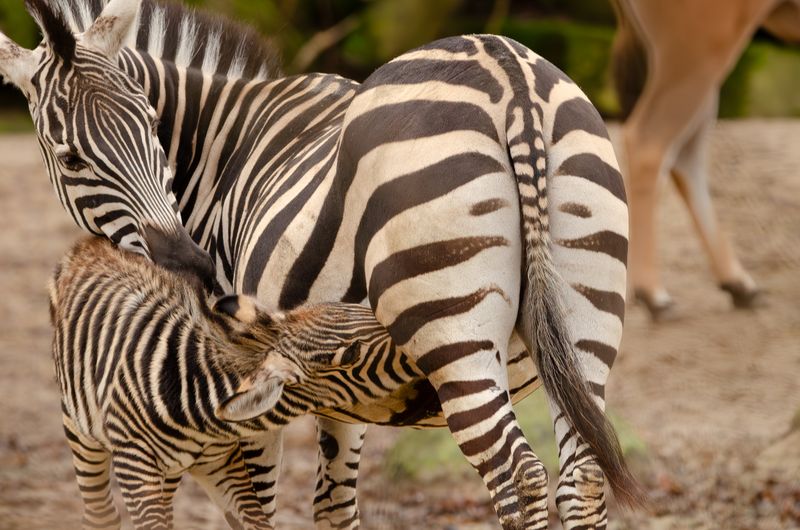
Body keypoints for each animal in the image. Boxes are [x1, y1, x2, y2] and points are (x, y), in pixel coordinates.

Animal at [49, 236, 410, 529]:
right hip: (79, 430)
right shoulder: (134, 464)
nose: (405, 331)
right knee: (100, 513)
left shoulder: (224, 464)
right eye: (351, 355)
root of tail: (93, 242)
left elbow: (256, 522)